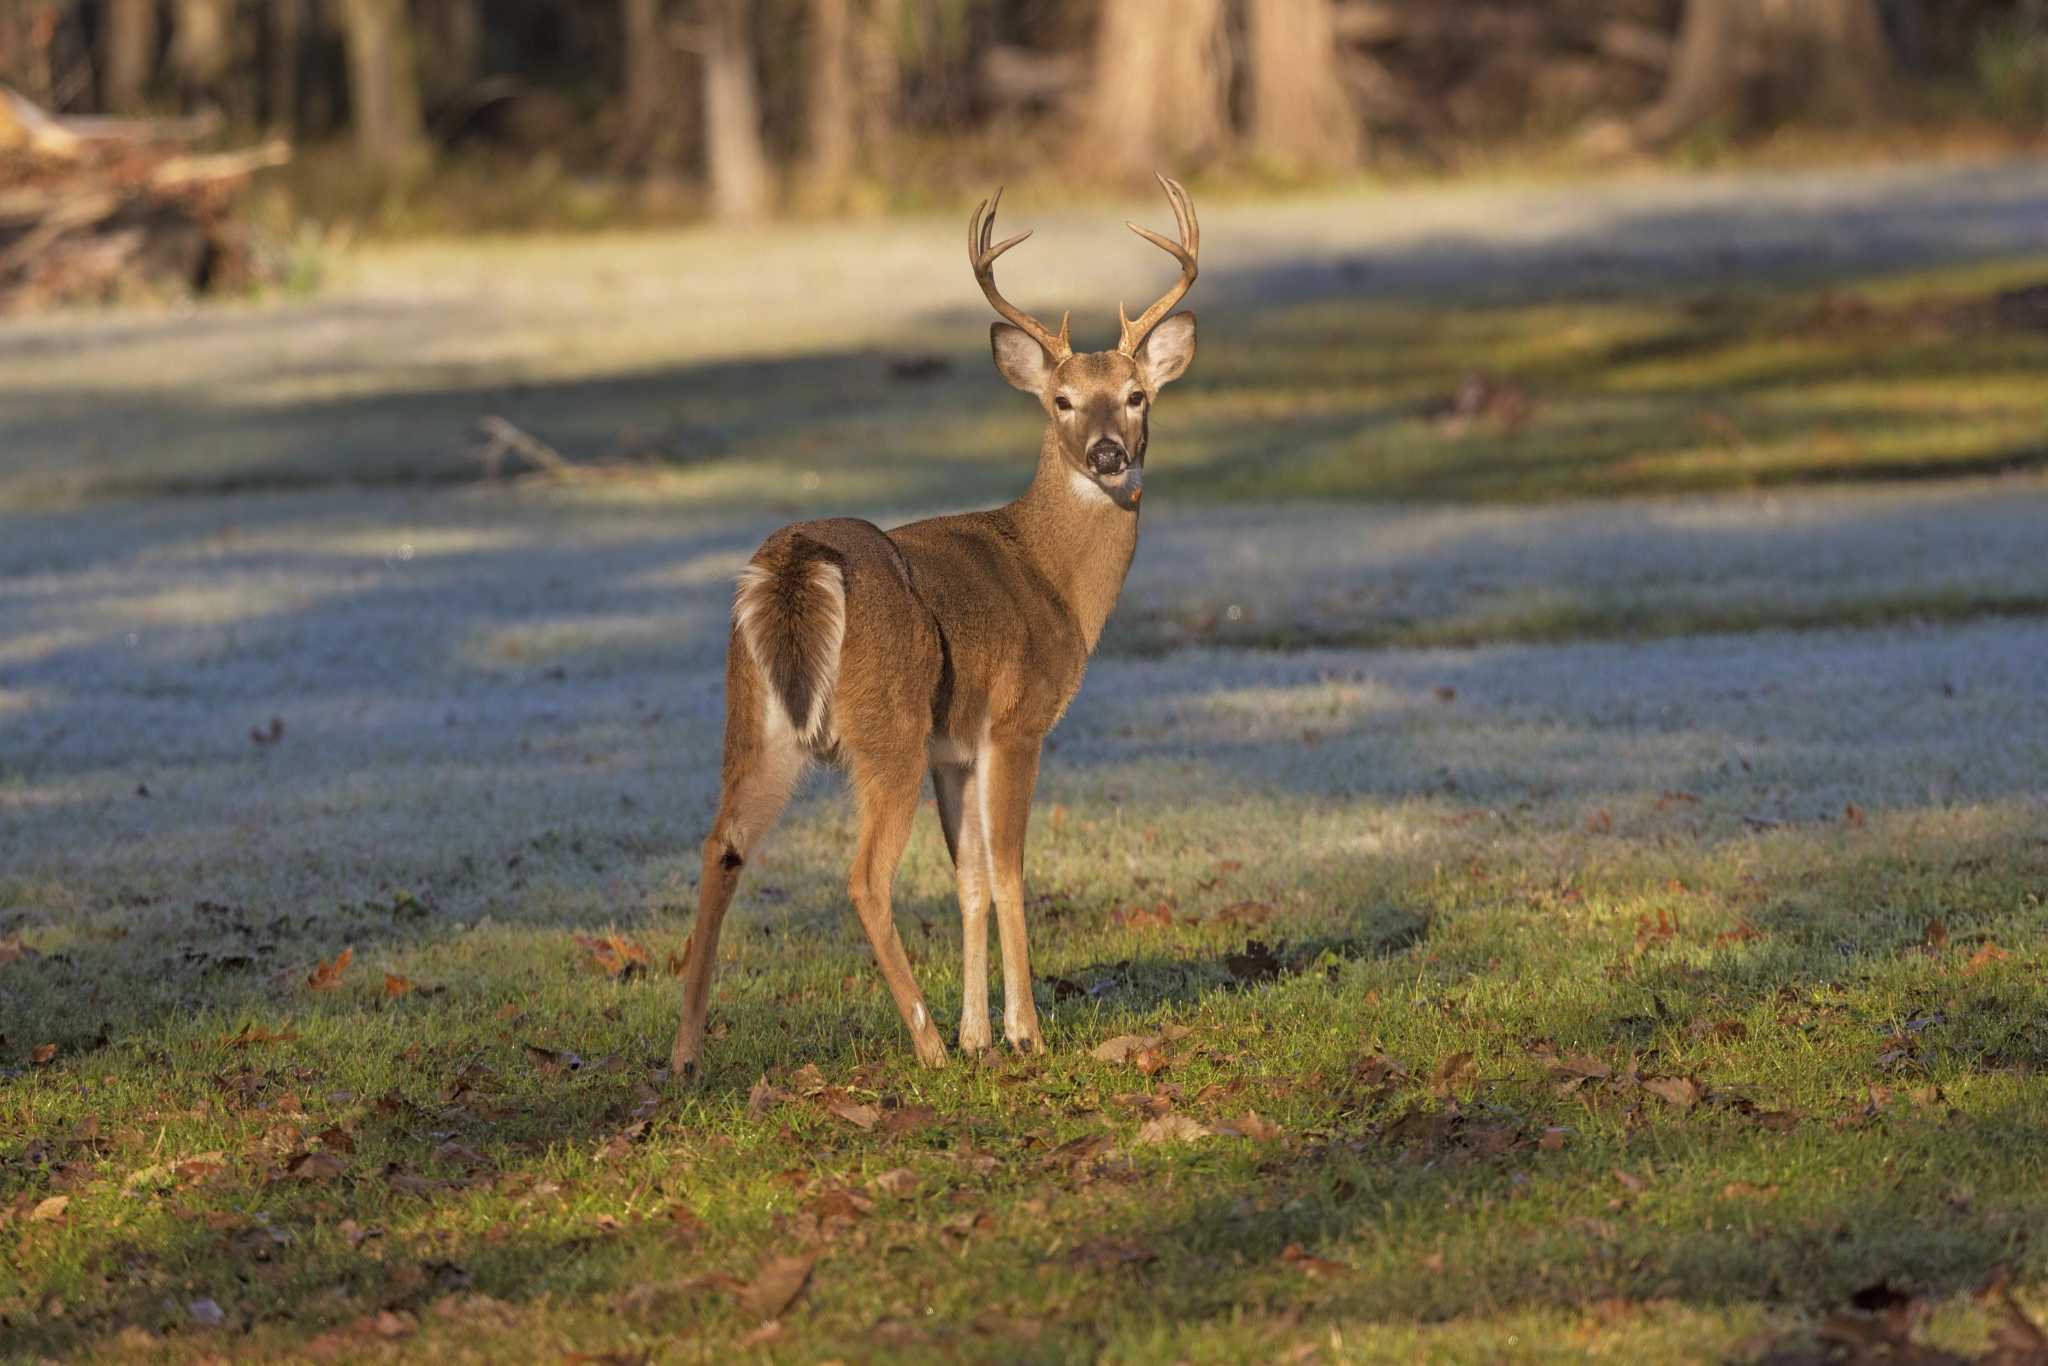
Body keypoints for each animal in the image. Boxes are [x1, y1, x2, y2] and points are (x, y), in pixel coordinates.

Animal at [671, 174, 1196, 1081]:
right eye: (1061, 401)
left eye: (1136, 397)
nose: (1106, 454)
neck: (1053, 580)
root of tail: (793, 559)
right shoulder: (1015, 721)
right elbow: (1012, 870)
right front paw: (1023, 1032)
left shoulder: (957, 747)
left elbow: (970, 881)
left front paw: (980, 1031)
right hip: (889, 723)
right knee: (863, 876)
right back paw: (923, 1041)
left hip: (758, 715)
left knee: (722, 843)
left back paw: (685, 1052)